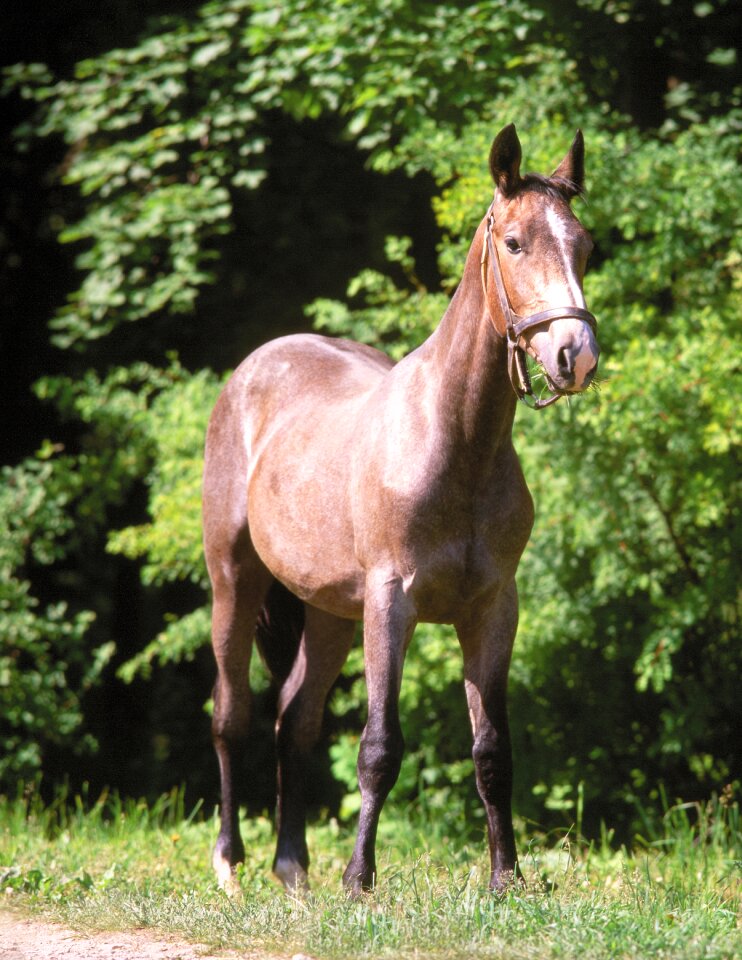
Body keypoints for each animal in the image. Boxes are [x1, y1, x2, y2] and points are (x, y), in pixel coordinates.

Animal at [202, 124, 600, 896]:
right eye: (514, 243)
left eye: (585, 245)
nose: (577, 355)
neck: (455, 442)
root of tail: (252, 368)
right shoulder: (393, 602)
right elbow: (379, 746)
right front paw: (360, 881)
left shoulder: (492, 610)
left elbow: (492, 750)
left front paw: (506, 879)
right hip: (235, 580)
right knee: (233, 715)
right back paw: (232, 865)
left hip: (329, 612)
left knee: (294, 719)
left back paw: (293, 872)